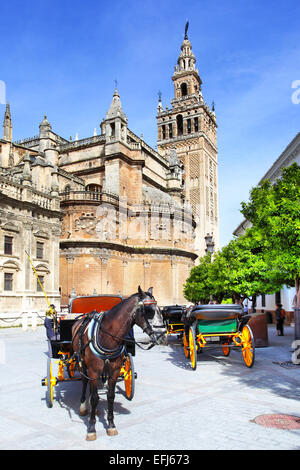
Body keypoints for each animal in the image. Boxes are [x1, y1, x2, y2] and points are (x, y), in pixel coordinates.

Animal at [71, 286, 165, 440]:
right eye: (149, 311)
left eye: (160, 310)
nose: (162, 335)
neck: (107, 336)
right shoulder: (94, 370)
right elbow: (95, 398)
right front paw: (91, 428)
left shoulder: (114, 371)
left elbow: (110, 396)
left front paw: (111, 425)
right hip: (82, 363)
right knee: (85, 382)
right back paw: (84, 406)